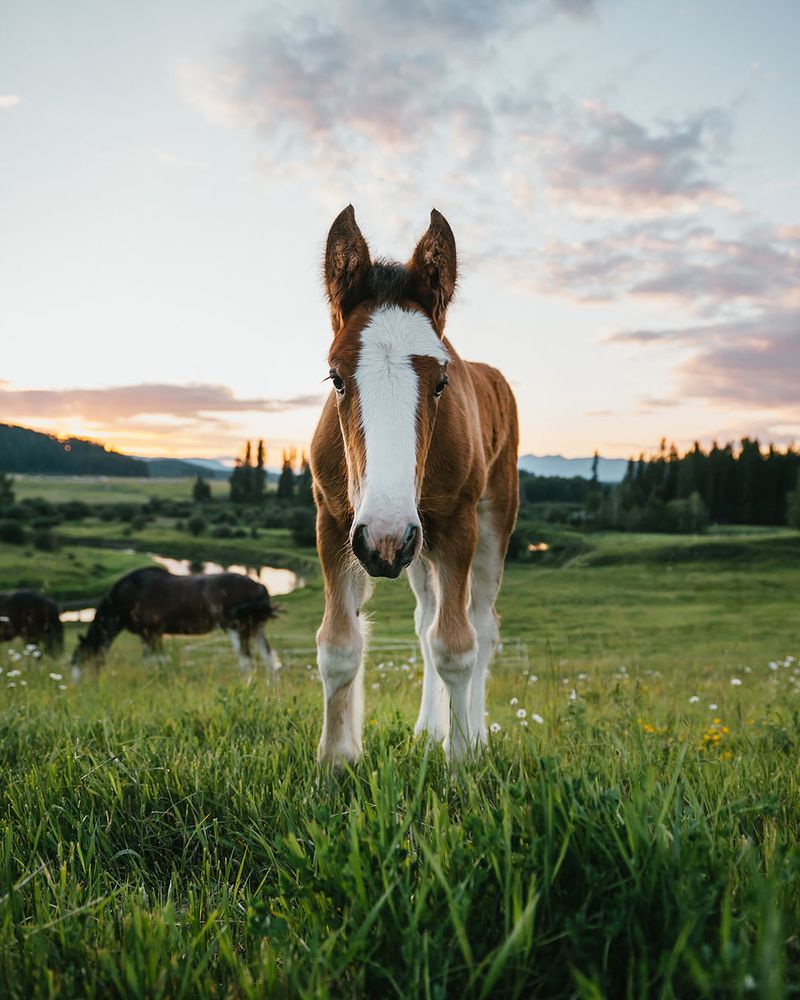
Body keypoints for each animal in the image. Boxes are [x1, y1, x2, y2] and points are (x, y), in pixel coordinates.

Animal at [70, 568, 282, 676]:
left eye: (82, 662)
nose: (76, 691)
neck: (126, 596)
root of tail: (259, 586)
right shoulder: (148, 635)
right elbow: (149, 661)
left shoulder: (151, 633)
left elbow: (158, 661)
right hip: (256, 629)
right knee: (271, 660)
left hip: (236, 629)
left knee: (247, 662)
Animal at [306, 205, 520, 764]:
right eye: (336, 378)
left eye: (441, 381)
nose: (385, 536)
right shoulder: (335, 524)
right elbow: (339, 644)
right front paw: (335, 762)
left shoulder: (457, 527)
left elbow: (457, 645)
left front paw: (462, 760)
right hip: (416, 548)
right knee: (426, 623)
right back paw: (428, 730)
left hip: (485, 523)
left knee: (482, 625)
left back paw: (475, 733)